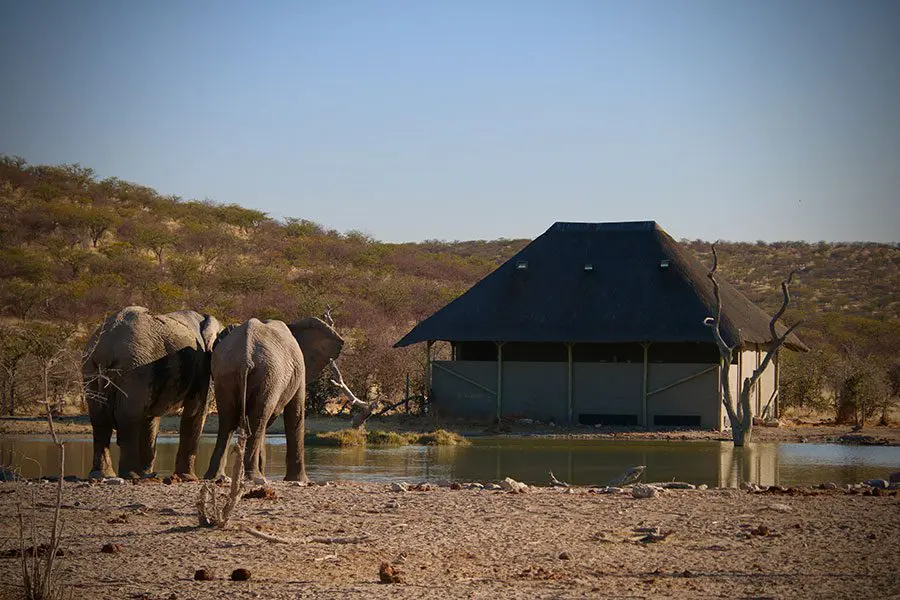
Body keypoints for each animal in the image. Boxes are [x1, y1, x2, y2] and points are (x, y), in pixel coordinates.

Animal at [83, 306, 222, 479]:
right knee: (128, 418)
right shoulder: (202, 366)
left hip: (93, 369)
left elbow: (150, 420)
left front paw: (148, 472)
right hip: (135, 369)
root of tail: (105, 350)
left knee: (99, 420)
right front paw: (188, 478)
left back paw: (104, 475)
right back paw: (132, 475)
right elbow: (195, 412)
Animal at [204, 317, 344, 483]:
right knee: (257, 420)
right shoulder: (300, 367)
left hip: (226, 372)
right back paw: (256, 477)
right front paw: (300, 481)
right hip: (269, 376)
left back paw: (216, 477)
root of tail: (245, 357)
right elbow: (296, 413)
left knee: (228, 420)